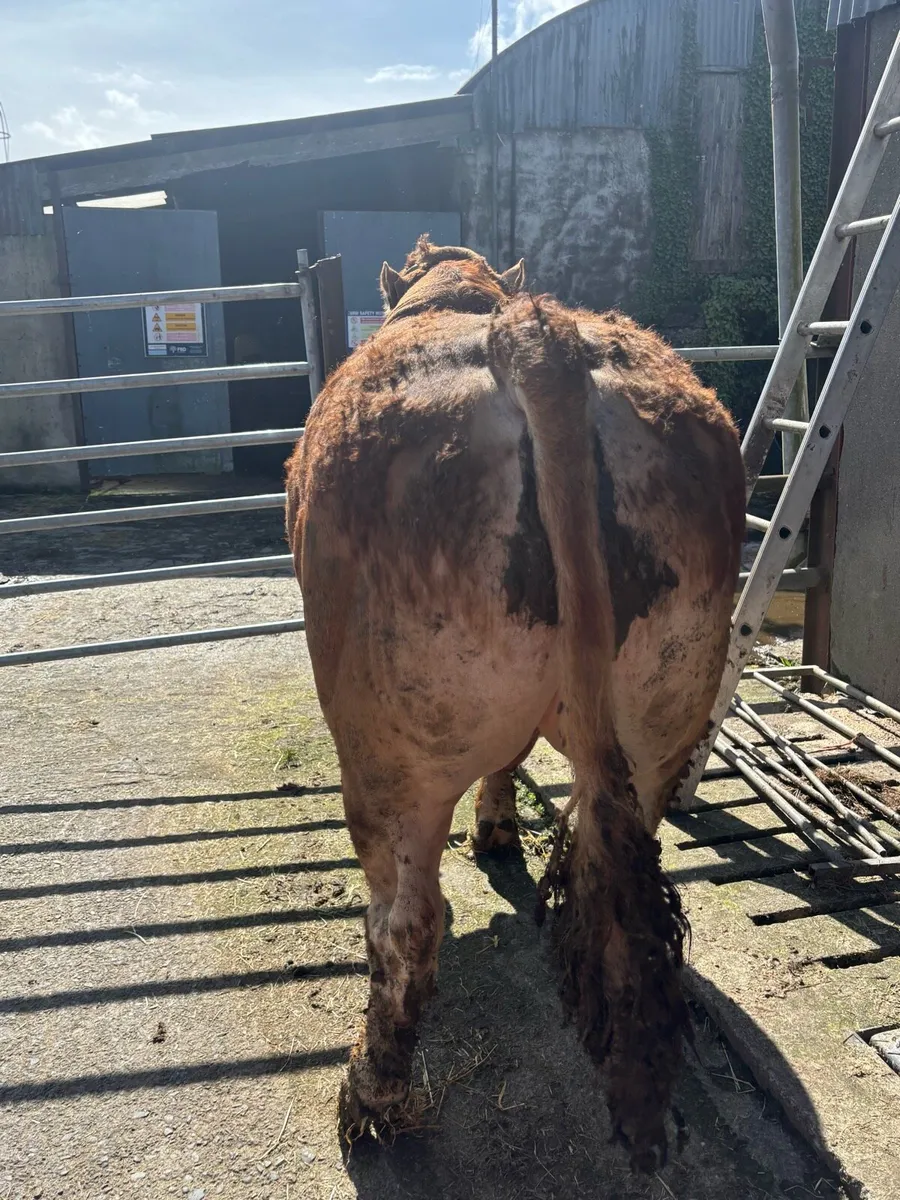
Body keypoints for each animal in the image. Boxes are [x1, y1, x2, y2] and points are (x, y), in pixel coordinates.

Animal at [285, 237, 745, 1170]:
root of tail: (534, 337)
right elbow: (509, 760)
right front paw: (498, 825)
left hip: (389, 752)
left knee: (408, 922)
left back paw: (370, 1096)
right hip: (665, 714)